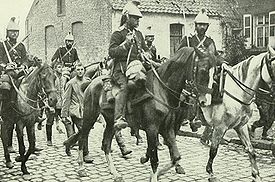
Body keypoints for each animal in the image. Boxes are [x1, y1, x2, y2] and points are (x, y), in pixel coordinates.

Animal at [74, 47, 219, 182]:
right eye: (202, 70)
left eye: (214, 73)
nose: (205, 101)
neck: (162, 90)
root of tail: (91, 82)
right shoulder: (152, 129)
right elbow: (154, 158)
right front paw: (153, 173)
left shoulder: (167, 128)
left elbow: (176, 157)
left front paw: (156, 172)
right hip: (90, 116)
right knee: (82, 137)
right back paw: (81, 167)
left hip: (110, 121)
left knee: (106, 144)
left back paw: (115, 174)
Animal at [197, 45, 275, 182]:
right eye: (273, 66)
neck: (238, 92)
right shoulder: (220, 128)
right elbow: (213, 151)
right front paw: (210, 173)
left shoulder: (241, 126)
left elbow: (250, 150)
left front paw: (256, 174)